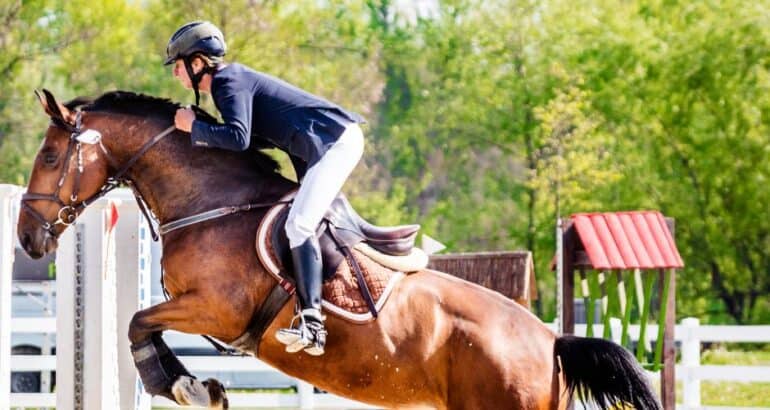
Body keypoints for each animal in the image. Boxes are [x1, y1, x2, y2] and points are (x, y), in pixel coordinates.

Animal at [17, 89, 661, 410]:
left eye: (48, 156)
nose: (27, 237)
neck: (214, 202)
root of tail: (551, 340)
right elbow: (141, 323)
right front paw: (197, 386)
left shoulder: (215, 309)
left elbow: (136, 322)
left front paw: (187, 387)